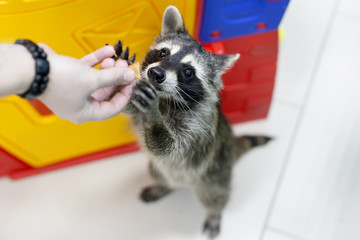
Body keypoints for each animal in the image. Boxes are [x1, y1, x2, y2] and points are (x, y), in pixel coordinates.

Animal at [119, 5, 272, 238]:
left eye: (188, 72)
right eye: (163, 53)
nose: (155, 73)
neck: (165, 99)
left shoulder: (197, 128)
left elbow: (170, 147)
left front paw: (154, 116)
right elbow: (127, 106)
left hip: (215, 174)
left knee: (215, 196)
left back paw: (214, 212)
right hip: (158, 169)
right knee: (160, 174)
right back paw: (164, 185)